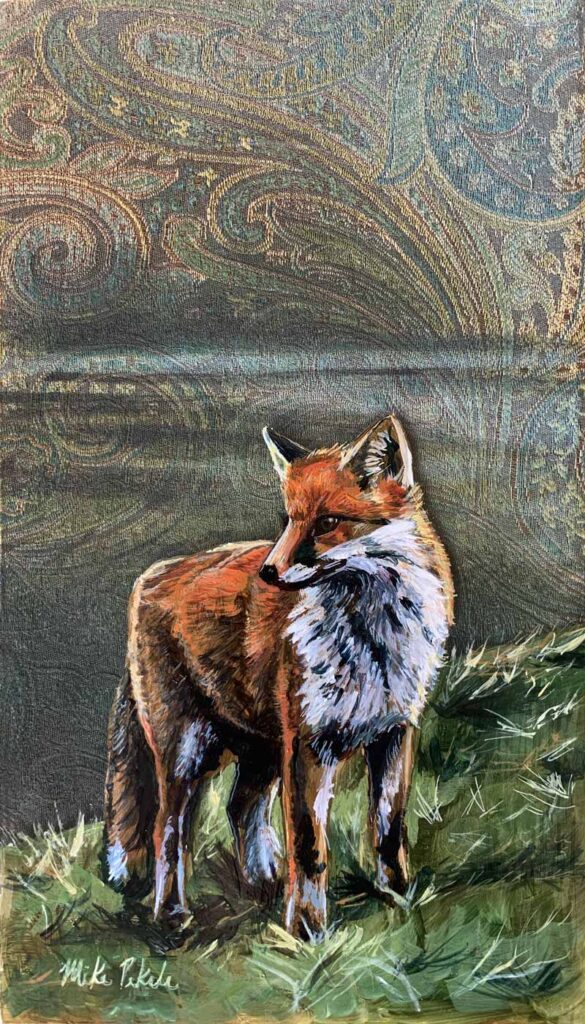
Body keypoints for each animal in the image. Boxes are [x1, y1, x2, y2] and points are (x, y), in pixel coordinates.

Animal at [103, 415, 454, 939]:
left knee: (240, 808)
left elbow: (389, 829)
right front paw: (308, 930)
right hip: (189, 750)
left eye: (327, 522)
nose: (269, 572)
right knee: (169, 828)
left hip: (261, 747)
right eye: (289, 519)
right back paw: (172, 915)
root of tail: (152, 575)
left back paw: (262, 886)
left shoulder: (394, 730)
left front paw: (400, 897)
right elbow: (309, 848)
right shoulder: (310, 743)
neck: (371, 642)